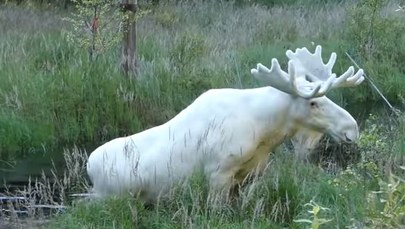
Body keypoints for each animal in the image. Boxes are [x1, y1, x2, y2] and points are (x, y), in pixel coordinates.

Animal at [85, 45, 362, 201]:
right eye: (313, 103)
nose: (352, 128)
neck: (266, 131)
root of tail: (89, 168)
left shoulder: (251, 173)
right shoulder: (217, 173)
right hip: (110, 198)